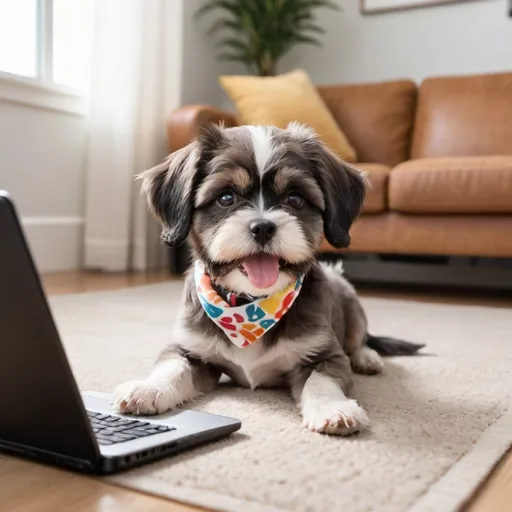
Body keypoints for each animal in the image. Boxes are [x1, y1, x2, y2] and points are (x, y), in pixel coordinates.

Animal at [114, 122, 422, 434]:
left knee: (359, 338)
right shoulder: (190, 349)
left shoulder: (325, 354)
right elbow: (172, 367)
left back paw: (366, 357)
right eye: (226, 197)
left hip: (349, 296)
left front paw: (333, 408)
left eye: (295, 198)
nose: (262, 226)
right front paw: (149, 388)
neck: (250, 305)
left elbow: (322, 381)